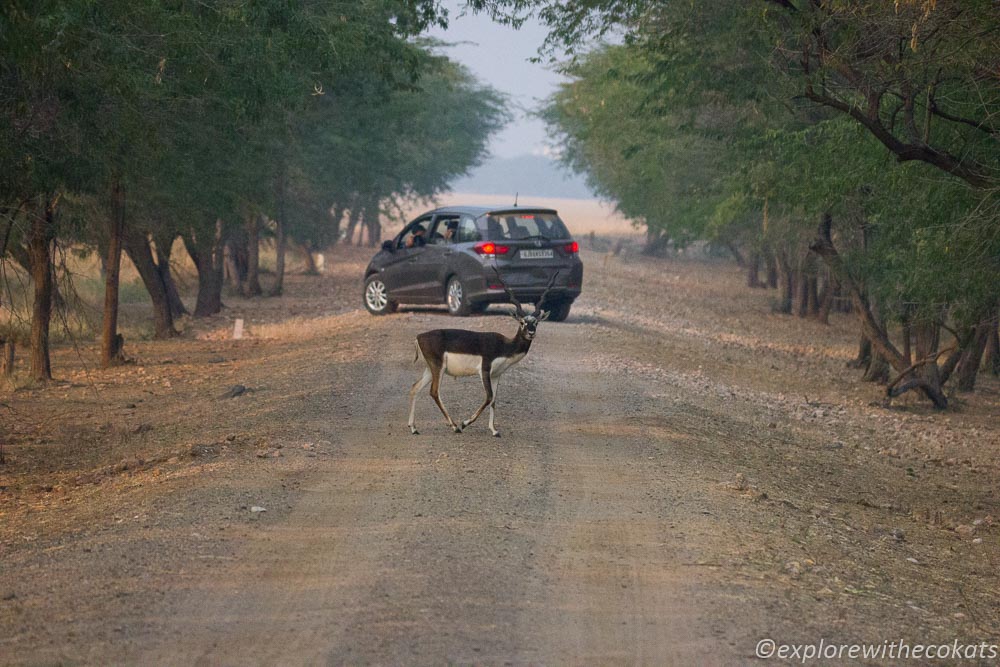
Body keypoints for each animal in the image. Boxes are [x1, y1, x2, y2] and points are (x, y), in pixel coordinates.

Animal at [408, 272, 564, 438]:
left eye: (536, 322)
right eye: (522, 322)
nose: (531, 333)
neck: (505, 346)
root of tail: (419, 336)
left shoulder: (497, 374)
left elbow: (494, 400)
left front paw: (494, 430)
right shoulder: (484, 369)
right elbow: (488, 397)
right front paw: (464, 423)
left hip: (430, 369)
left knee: (415, 387)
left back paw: (413, 428)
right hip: (439, 368)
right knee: (434, 392)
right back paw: (455, 426)